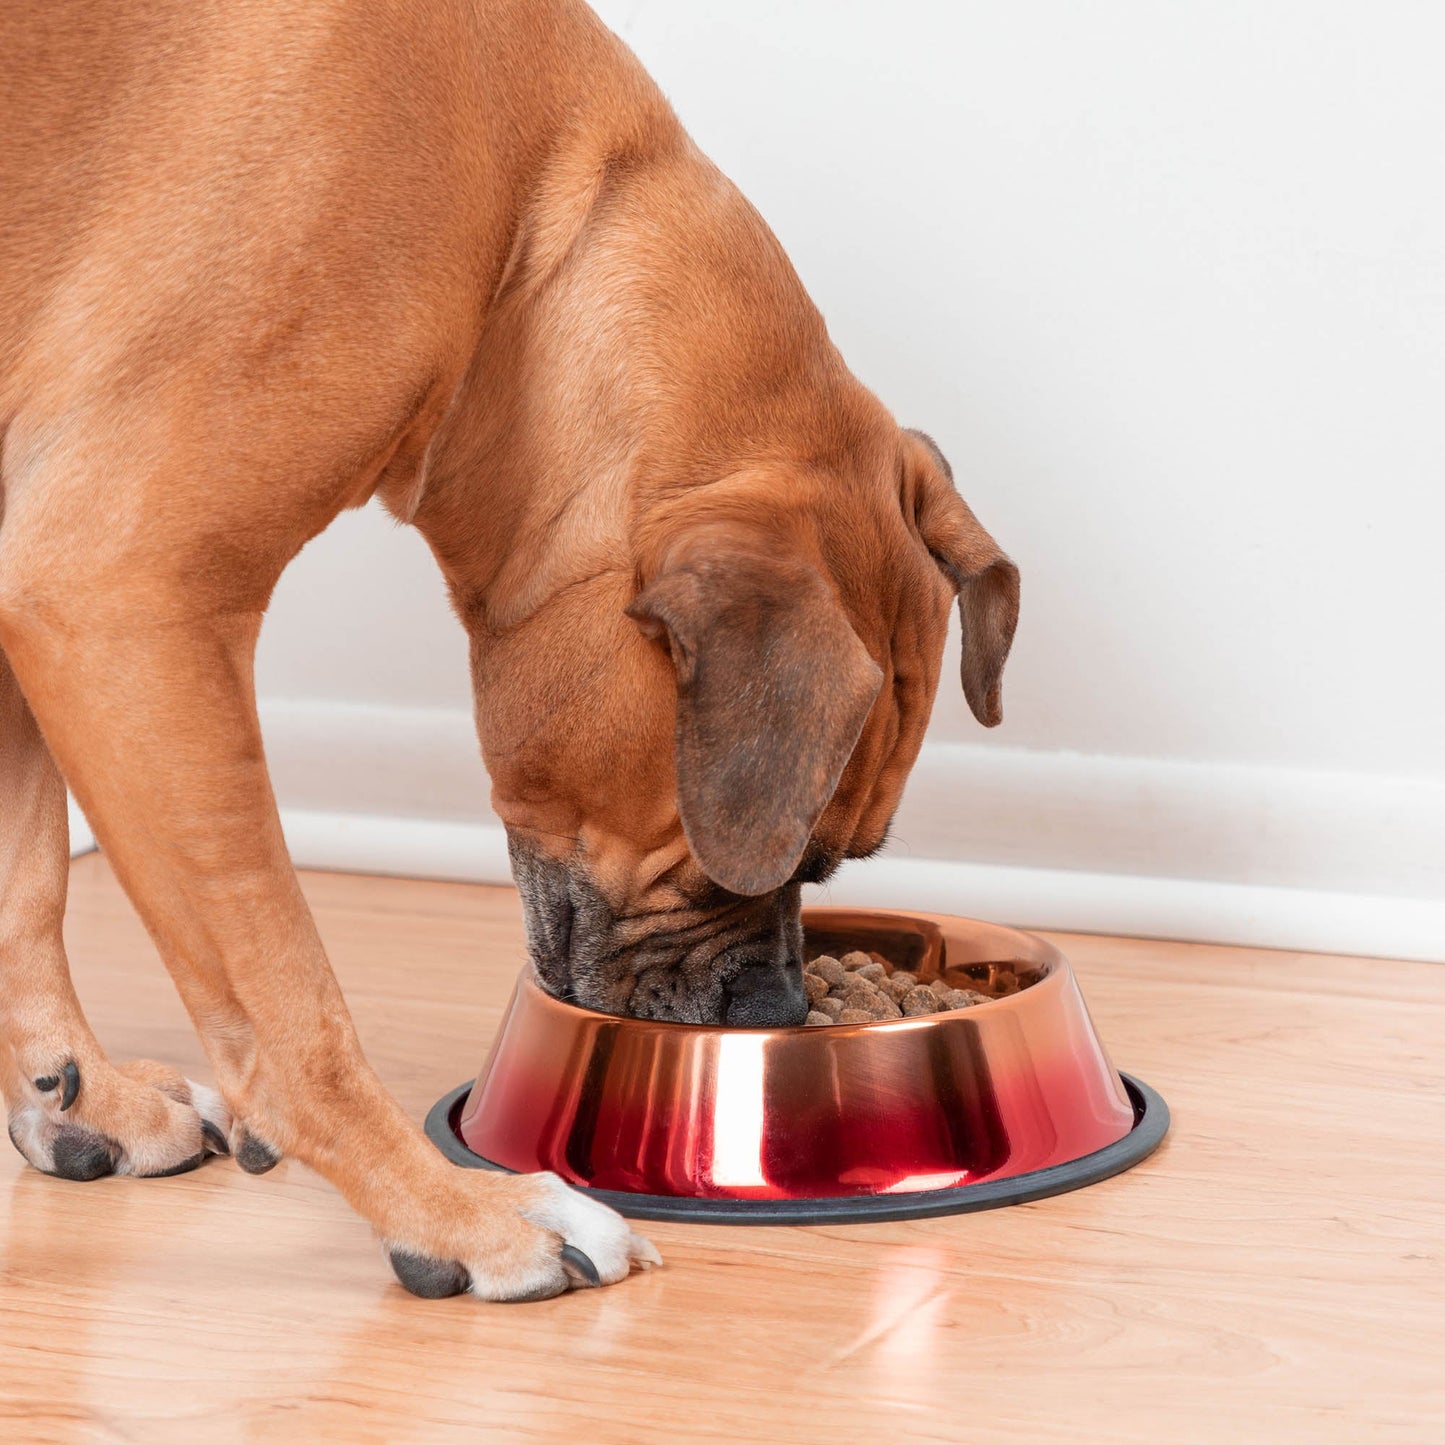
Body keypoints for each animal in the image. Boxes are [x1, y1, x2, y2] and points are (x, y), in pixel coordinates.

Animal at [0, 0, 1017, 1306]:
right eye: (790, 857)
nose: (781, 1005)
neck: (531, 245)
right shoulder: (116, 592)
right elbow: (290, 1002)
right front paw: (456, 1213)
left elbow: (27, 884)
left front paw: (68, 1089)